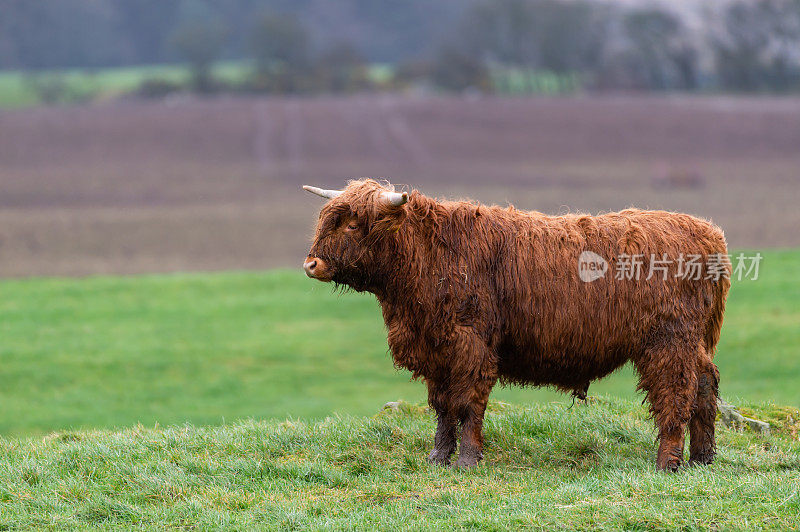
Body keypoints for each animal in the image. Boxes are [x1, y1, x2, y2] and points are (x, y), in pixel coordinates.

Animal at [304, 179, 728, 470]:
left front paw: (467, 460)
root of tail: (708, 233)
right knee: (706, 386)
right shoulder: (436, 350)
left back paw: (667, 463)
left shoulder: (470, 346)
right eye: (327, 219)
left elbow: (467, 404)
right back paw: (702, 458)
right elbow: (441, 407)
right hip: (693, 342)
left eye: (353, 225)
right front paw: (438, 456)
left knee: (676, 395)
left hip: (668, 342)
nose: (311, 264)